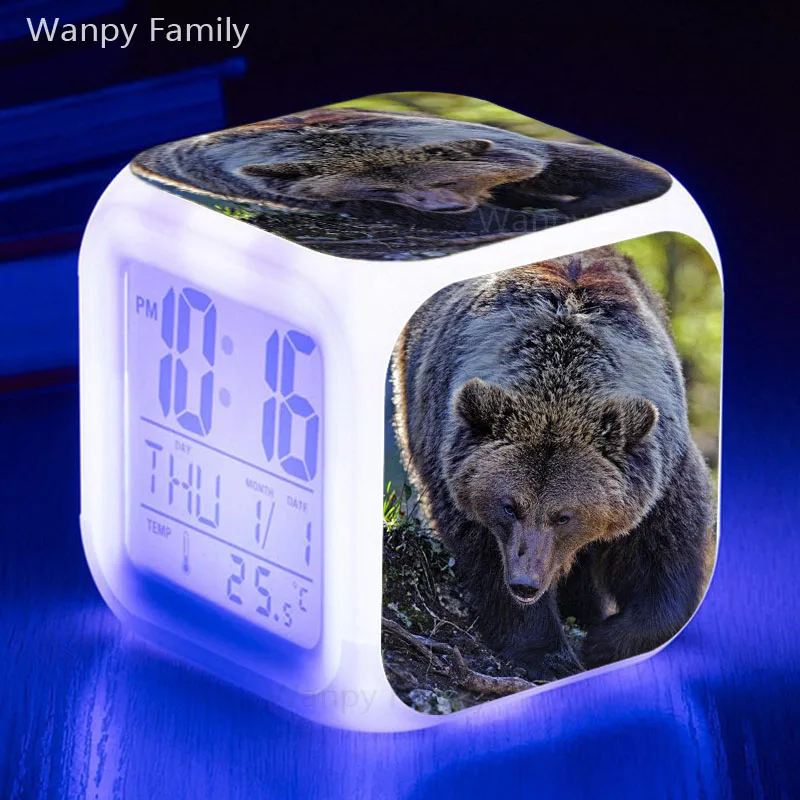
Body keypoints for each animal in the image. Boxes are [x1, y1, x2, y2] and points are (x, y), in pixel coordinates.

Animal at [391, 246, 714, 678]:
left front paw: (605, 639)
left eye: (564, 515)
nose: (525, 583)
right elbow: (485, 558)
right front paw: (548, 653)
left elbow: (665, 555)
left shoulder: (661, 473)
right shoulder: (456, 466)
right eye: (509, 506)